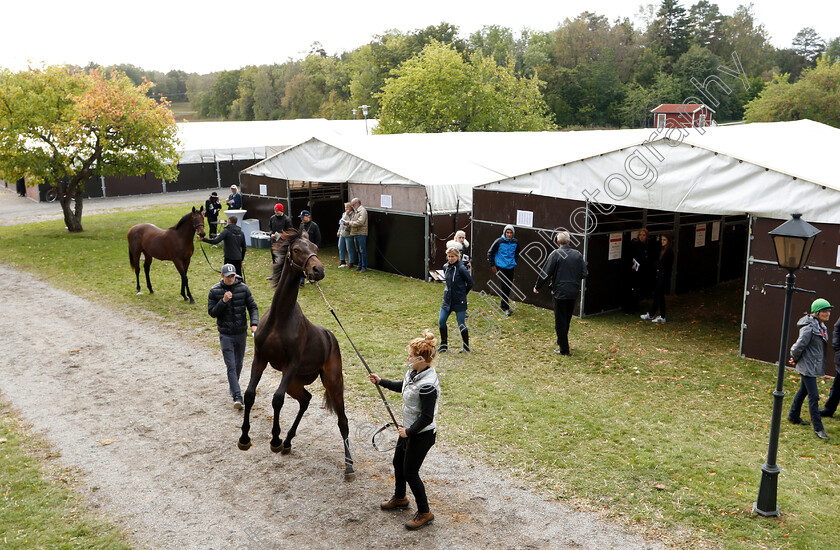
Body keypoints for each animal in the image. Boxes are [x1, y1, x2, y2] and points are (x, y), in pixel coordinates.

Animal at [240, 231, 354, 480]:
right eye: (296, 250)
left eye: (315, 247)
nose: (318, 270)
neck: (279, 319)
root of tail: (330, 337)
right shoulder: (260, 358)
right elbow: (250, 394)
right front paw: (244, 438)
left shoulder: (290, 364)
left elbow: (277, 399)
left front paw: (274, 440)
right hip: (295, 382)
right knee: (306, 400)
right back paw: (288, 441)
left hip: (332, 381)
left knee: (342, 421)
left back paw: (349, 466)